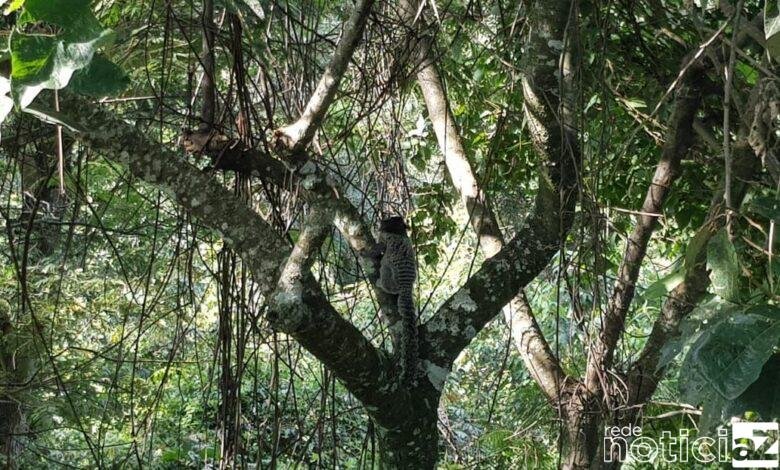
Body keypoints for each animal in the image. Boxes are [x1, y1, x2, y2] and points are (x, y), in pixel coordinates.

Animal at [375, 216, 418, 385]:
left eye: (387, 221)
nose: (381, 224)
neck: (398, 231)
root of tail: (406, 287)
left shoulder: (385, 238)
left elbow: (379, 247)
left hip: (391, 278)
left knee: (384, 267)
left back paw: (379, 283)